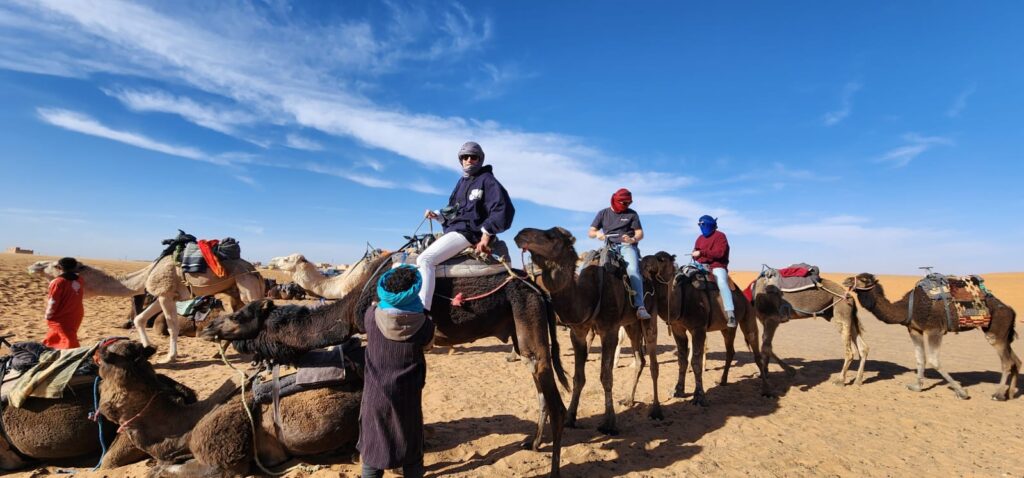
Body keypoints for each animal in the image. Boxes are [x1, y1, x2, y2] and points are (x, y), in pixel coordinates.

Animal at [512, 227, 663, 433]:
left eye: (552, 236)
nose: (521, 234)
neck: (589, 294)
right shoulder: (578, 333)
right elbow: (578, 377)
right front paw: (570, 417)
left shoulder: (609, 330)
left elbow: (606, 376)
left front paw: (609, 423)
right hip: (631, 324)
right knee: (640, 359)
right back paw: (629, 400)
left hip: (650, 316)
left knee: (653, 362)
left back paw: (656, 410)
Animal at [634, 250, 770, 403]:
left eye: (661, 259)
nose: (643, 262)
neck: (680, 300)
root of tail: (744, 295)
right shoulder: (677, 329)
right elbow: (682, 360)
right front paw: (678, 390)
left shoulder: (698, 329)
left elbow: (696, 362)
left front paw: (699, 396)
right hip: (727, 328)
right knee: (730, 351)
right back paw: (722, 381)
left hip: (748, 317)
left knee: (756, 351)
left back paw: (766, 390)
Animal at [843, 272, 1019, 401]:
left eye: (864, 279)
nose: (846, 280)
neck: (906, 308)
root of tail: (1011, 310)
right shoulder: (914, 330)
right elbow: (921, 358)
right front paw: (916, 387)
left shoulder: (935, 330)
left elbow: (934, 361)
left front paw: (962, 392)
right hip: (1004, 334)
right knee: (1016, 361)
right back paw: (1009, 394)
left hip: (996, 331)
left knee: (1007, 362)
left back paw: (997, 394)